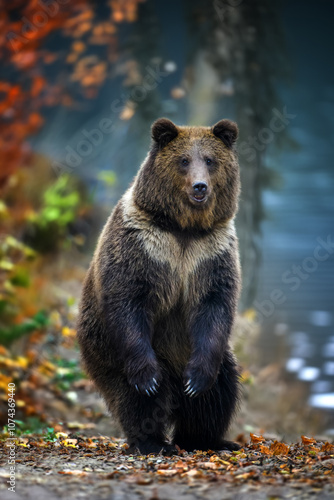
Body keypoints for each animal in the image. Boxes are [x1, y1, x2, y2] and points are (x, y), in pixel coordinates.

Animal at [77, 117, 241, 454]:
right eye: (183, 160)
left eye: (210, 160)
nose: (200, 186)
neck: (183, 229)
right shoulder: (143, 246)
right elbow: (128, 300)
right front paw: (147, 381)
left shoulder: (211, 253)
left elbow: (215, 304)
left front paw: (197, 382)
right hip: (107, 352)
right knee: (136, 399)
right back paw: (152, 441)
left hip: (198, 354)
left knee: (220, 389)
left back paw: (207, 438)